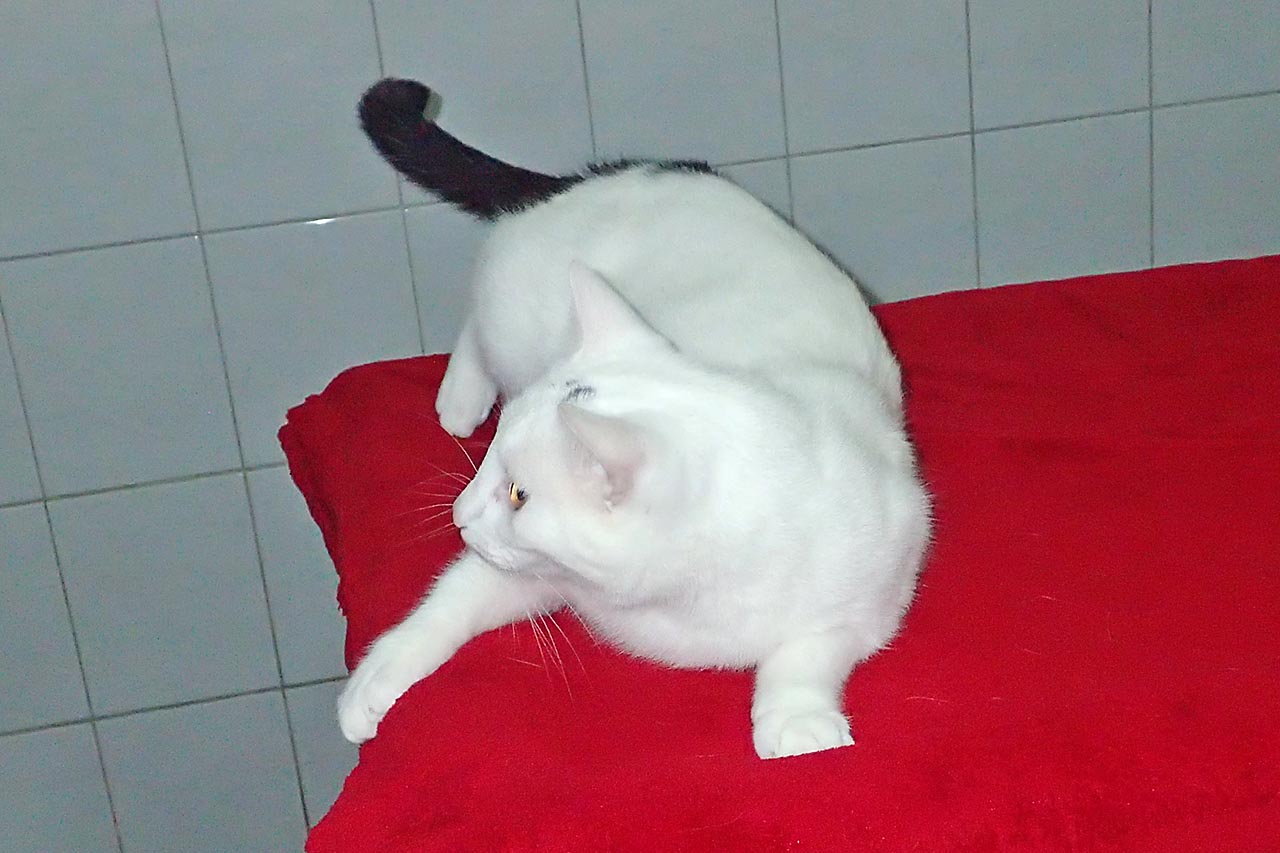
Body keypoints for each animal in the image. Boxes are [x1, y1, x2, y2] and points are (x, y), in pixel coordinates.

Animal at [337, 78, 931, 759]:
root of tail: (590, 178)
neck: (682, 600)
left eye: (517, 494)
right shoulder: (530, 571)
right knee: (479, 319)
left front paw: (797, 723)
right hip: (513, 314)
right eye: (494, 466)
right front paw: (372, 682)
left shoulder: (880, 588)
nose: (460, 515)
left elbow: (809, 650)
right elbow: (451, 601)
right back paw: (462, 396)